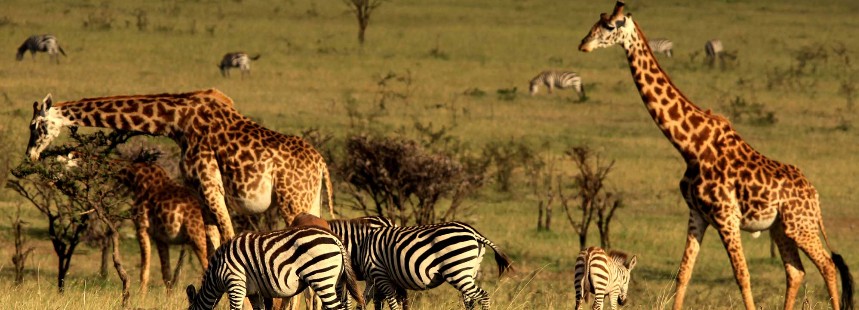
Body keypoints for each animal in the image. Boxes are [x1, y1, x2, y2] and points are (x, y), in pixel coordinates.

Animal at [24, 89, 340, 245]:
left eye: (36, 125)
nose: (30, 155)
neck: (177, 122)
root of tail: (321, 164)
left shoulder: (211, 185)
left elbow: (230, 238)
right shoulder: (199, 192)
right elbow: (214, 244)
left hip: (292, 200)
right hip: (310, 199)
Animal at [186, 225, 364, 310]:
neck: (217, 273)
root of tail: (335, 239)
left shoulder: (235, 283)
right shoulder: (254, 292)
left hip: (321, 278)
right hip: (337, 281)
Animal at [354, 222, 510, 308]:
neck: (362, 246)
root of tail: (474, 233)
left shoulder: (380, 274)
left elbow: (391, 302)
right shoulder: (372, 280)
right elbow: (363, 302)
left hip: (457, 271)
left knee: (483, 296)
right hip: (469, 272)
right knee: (470, 301)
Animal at [576, 1, 852, 308]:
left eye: (610, 26)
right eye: (596, 21)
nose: (583, 44)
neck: (691, 146)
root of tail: (814, 196)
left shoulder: (726, 216)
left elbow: (742, 275)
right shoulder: (697, 214)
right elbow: (683, 273)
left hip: (799, 226)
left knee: (827, 265)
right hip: (781, 228)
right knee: (796, 271)